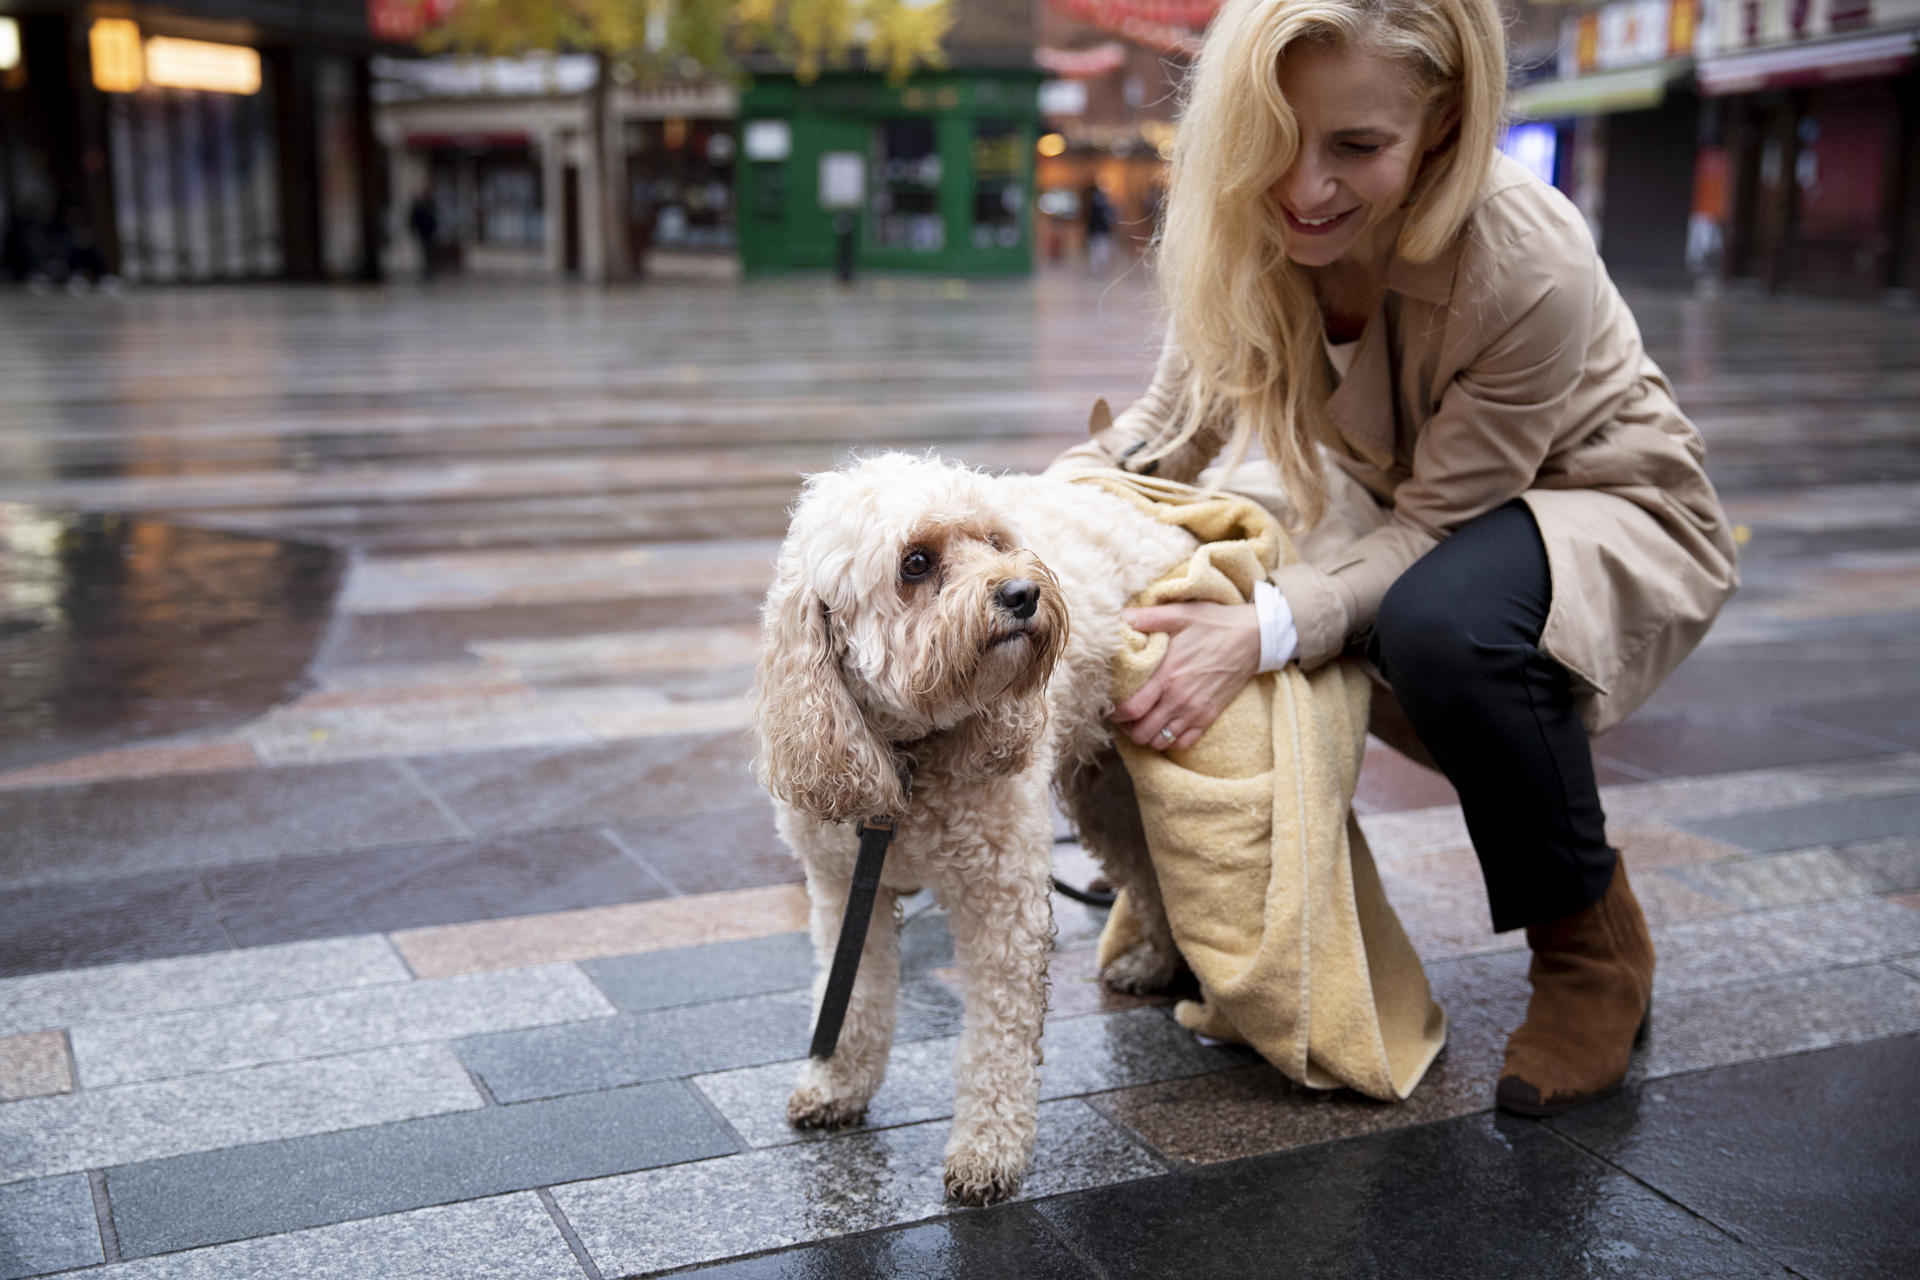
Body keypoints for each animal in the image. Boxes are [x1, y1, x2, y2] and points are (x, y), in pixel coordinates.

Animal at [752, 449, 1190, 1205]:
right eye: (916, 563)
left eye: (993, 540)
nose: (1022, 592)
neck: (908, 756)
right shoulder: (844, 890)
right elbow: (853, 999)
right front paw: (837, 1084)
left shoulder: (1002, 902)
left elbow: (998, 1040)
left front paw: (988, 1151)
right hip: (1104, 793)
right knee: (1145, 866)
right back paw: (1153, 963)